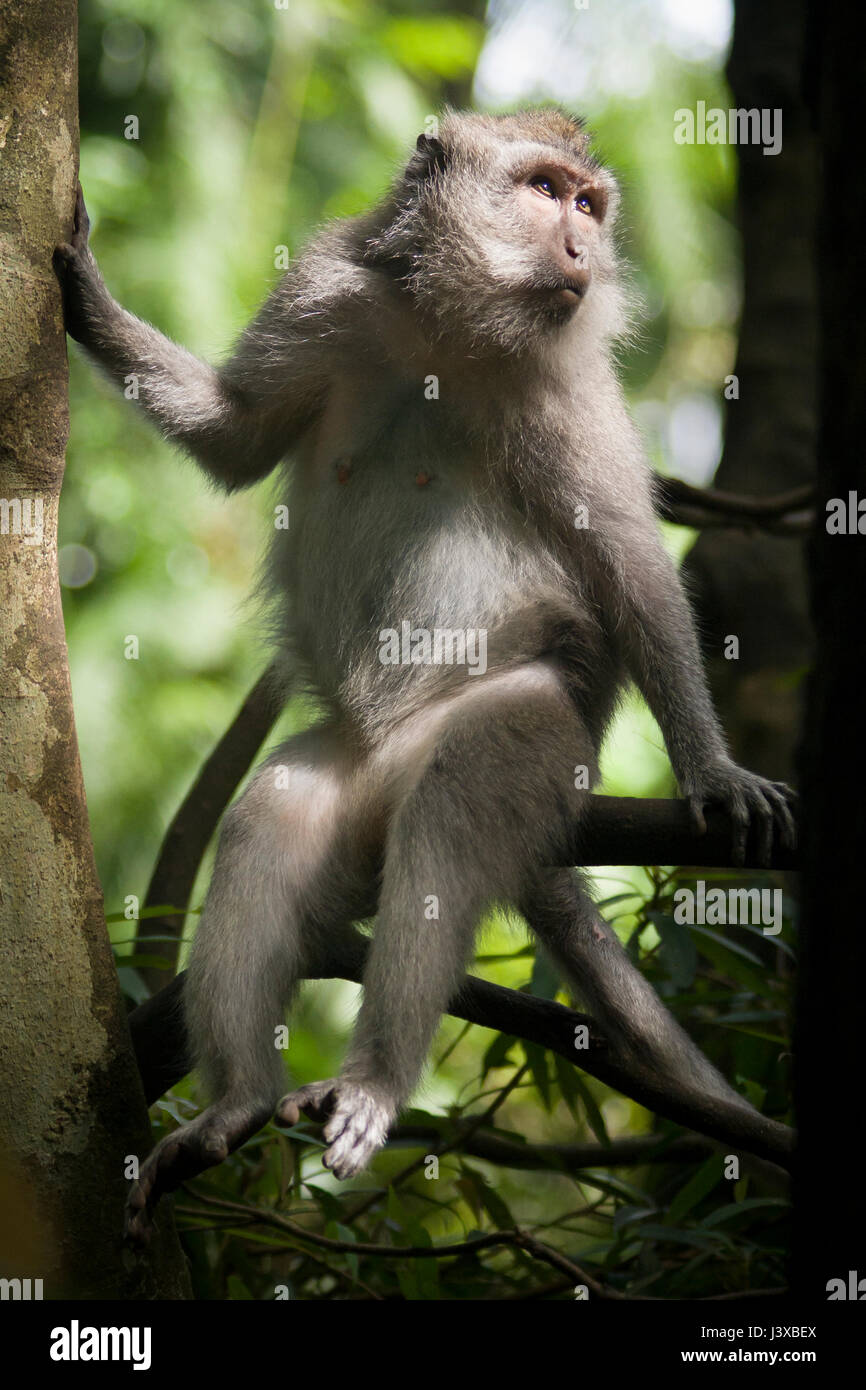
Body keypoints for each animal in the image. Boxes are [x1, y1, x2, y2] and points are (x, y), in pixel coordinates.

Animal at [54, 108, 795, 1239]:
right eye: (544, 188)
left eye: (589, 203)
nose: (579, 244)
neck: (455, 326)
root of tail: (389, 748)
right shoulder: (327, 288)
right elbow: (238, 437)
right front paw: (87, 298)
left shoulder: (569, 380)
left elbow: (629, 570)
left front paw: (710, 771)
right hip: (351, 780)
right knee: (275, 813)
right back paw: (235, 1106)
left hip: (538, 735)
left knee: (454, 804)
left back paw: (372, 1080)